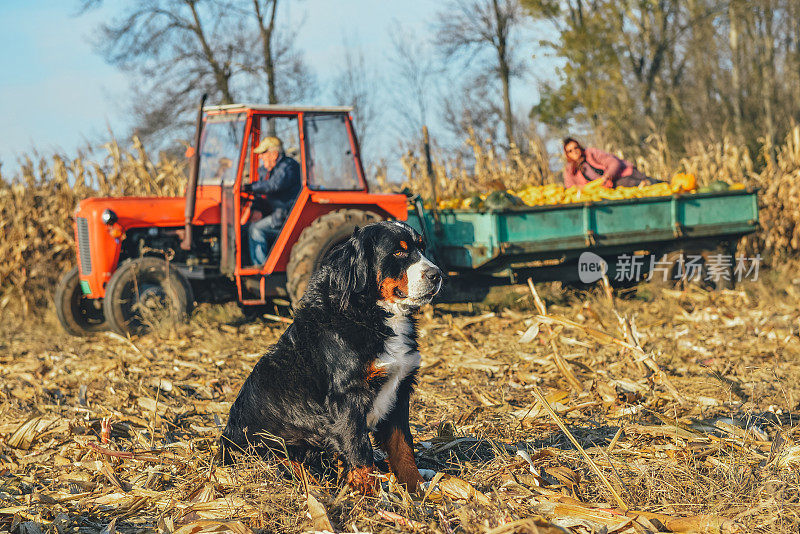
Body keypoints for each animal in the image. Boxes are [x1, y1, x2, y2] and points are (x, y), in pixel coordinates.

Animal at [220, 221, 444, 494]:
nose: (437, 274)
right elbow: (359, 451)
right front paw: (371, 495)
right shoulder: (348, 397)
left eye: (422, 248)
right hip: (274, 448)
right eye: (399, 252)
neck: (371, 313)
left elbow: (403, 448)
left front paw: (417, 488)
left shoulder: (400, 390)